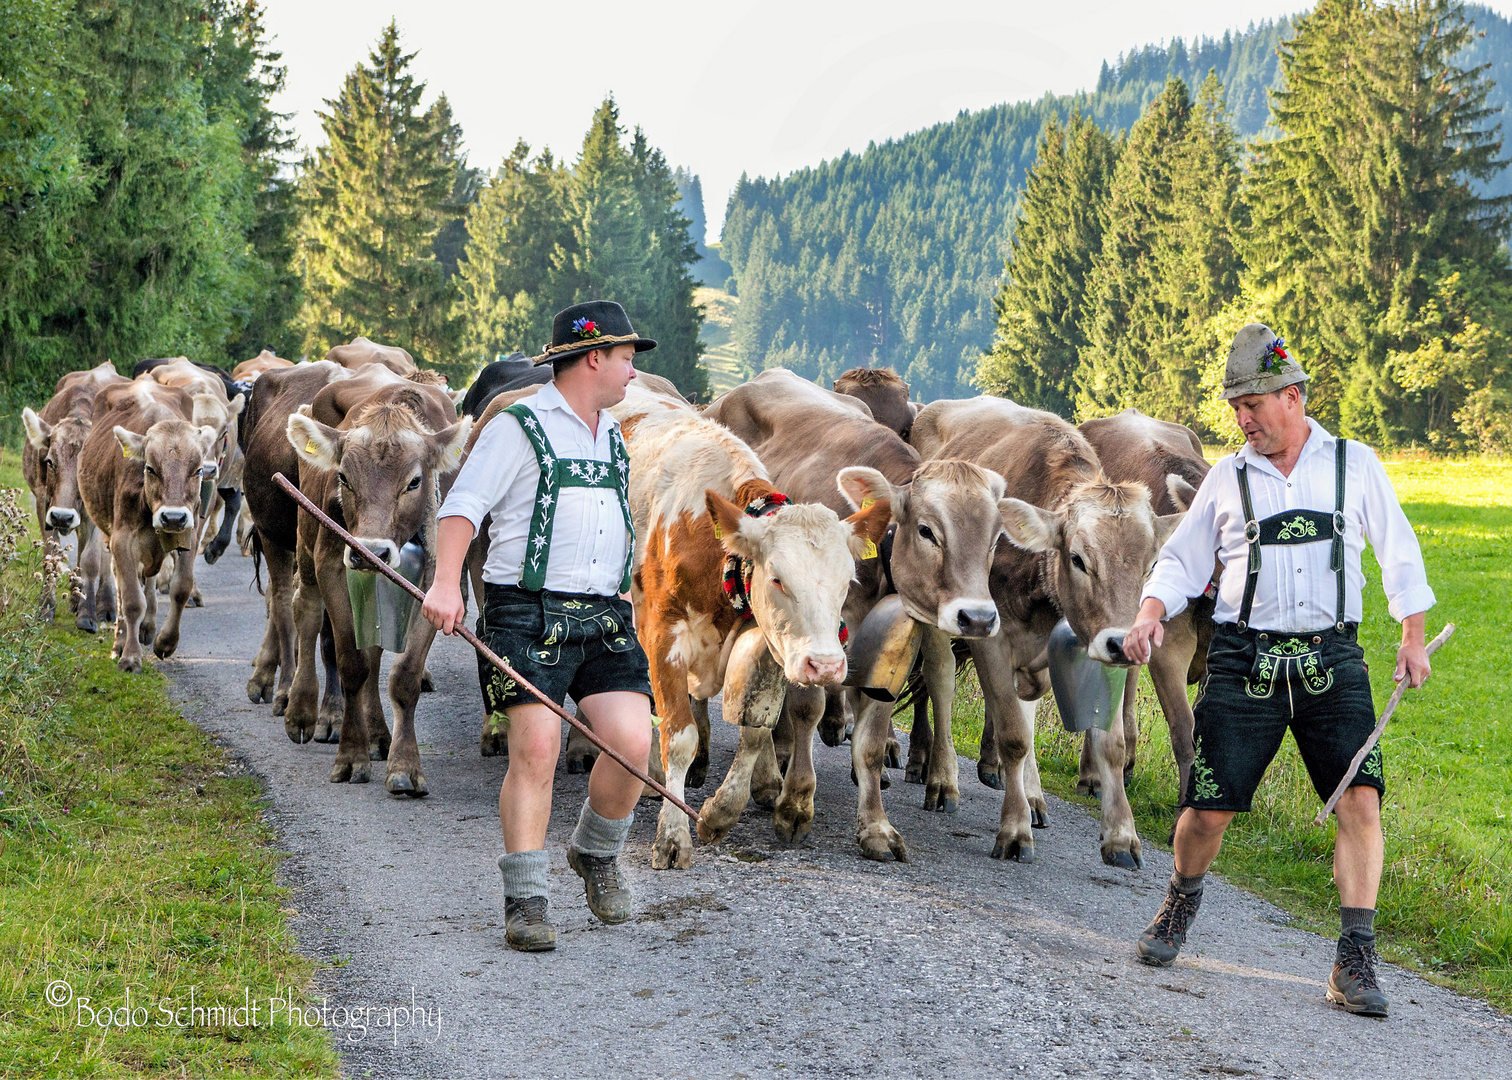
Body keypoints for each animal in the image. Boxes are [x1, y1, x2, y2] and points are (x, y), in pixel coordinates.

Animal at [21, 356, 128, 626]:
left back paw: (105, 604)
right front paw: (46, 608)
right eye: (49, 461)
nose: (62, 516)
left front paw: (87, 614)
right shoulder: (43, 502)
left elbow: (92, 559)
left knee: (104, 556)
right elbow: (50, 555)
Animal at [78, 376, 219, 665]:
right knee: (122, 586)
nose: (173, 517)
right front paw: (130, 656)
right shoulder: (122, 539)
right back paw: (121, 641)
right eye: (150, 468)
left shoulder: (189, 533)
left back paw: (147, 627)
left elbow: (181, 588)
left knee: (151, 581)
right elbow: (132, 599)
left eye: (198, 470)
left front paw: (165, 642)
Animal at [284, 366, 465, 786]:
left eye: (414, 481)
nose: (371, 551)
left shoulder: (435, 578)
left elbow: (403, 674)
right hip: (306, 539)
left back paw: (380, 735)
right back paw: (301, 710)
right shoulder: (332, 563)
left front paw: (404, 765)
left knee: (376, 650)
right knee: (306, 610)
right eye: (343, 477)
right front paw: (351, 754)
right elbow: (352, 663)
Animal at [901, 396, 1185, 865]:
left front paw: (1121, 836)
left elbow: (1109, 743)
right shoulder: (991, 637)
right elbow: (1014, 735)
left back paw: (1033, 797)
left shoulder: (1095, 642)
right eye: (1078, 559)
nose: (1124, 645)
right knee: (939, 681)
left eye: (1151, 567)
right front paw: (1014, 831)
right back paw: (942, 779)